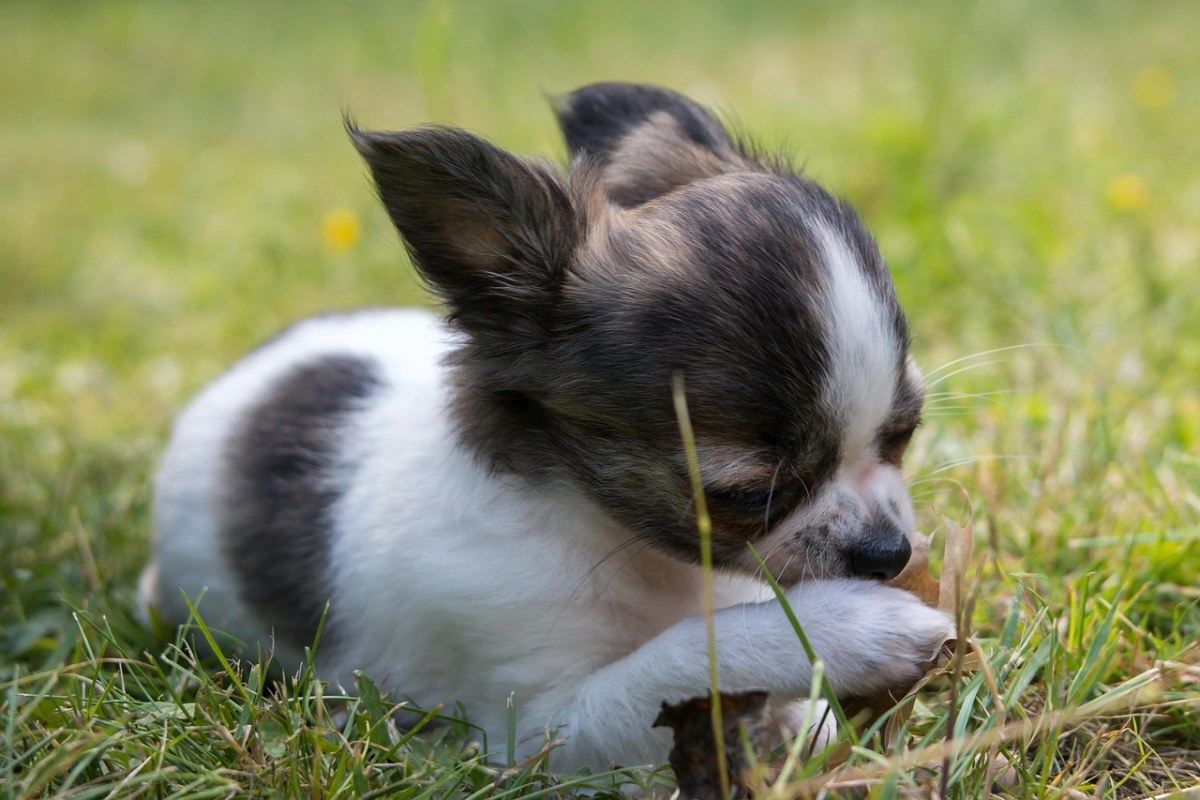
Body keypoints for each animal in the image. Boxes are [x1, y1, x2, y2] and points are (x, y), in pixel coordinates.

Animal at [140, 84, 950, 772]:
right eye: (749, 495)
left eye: (904, 434)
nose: (888, 552)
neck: (636, 553)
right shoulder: (538, 727)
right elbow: (691, 653)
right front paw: (848, 632)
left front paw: (799, 722)